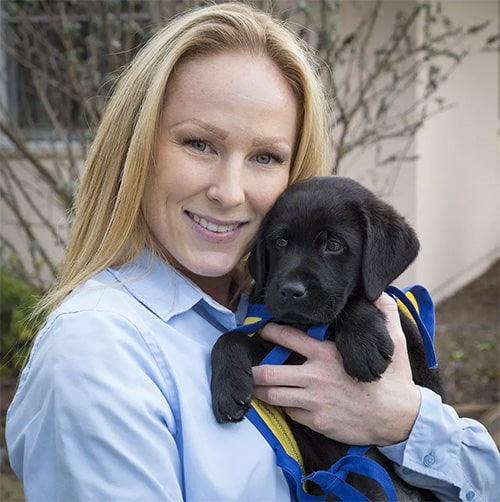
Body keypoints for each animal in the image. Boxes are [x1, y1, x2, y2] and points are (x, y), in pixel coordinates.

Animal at [209, 175, 444, 500]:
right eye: (280, 242)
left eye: (334, 245)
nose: (290, 291)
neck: (307, 326)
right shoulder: (275, 352)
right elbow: (230, 338)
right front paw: (229, 388)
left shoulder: (414, 355)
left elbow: (353, 300)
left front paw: (364, 345)